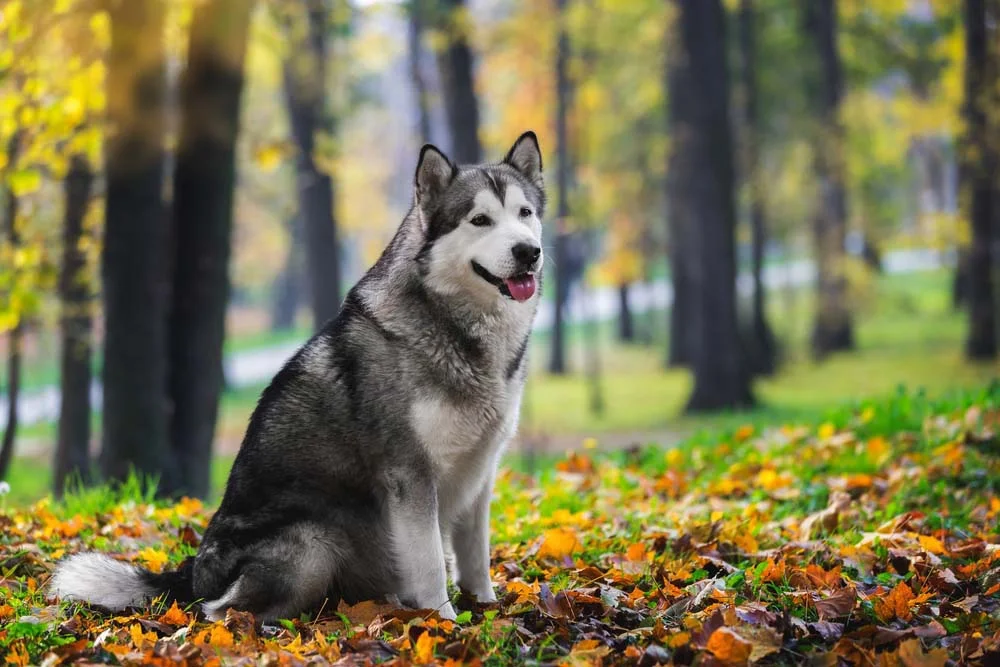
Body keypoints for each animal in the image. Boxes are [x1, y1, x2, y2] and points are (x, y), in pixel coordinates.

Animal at [50, 132, 548, 628]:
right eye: (480, 220)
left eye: (525, 213)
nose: (528, 251)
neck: (457, 327)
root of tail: (192, 575)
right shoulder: (410, 475)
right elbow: (429, 562)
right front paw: (442, 621)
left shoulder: (480, 470)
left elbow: (475, 554)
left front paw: (487, 608)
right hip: (313, 540)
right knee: (217, 611)